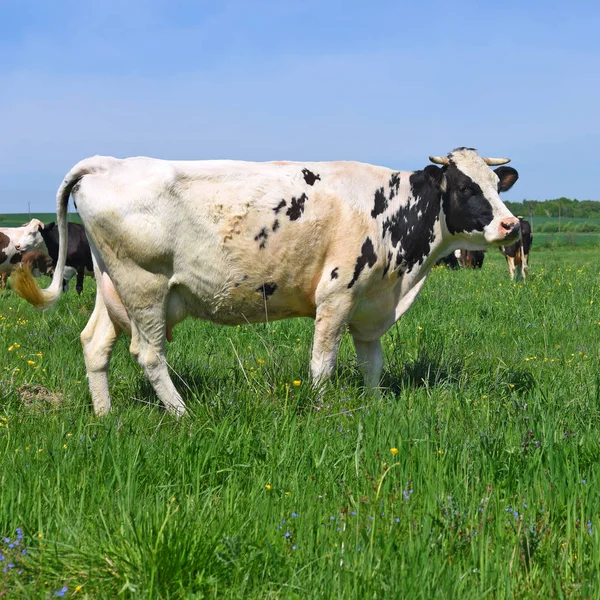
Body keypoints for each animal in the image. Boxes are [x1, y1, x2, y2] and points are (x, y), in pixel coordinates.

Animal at [12, 146, 520, 418]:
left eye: (498, 185)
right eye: (466, 188)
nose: (511, 225)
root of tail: (107, 163)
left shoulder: (370, 302)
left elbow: (371, 363)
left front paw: (375, 406)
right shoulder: (337, 295)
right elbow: (323, 365)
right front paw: (321, 410)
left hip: (110, 286)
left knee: (95, 344)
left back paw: (106, 415)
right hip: (144, 286)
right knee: (149, 354)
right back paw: (182, 414)